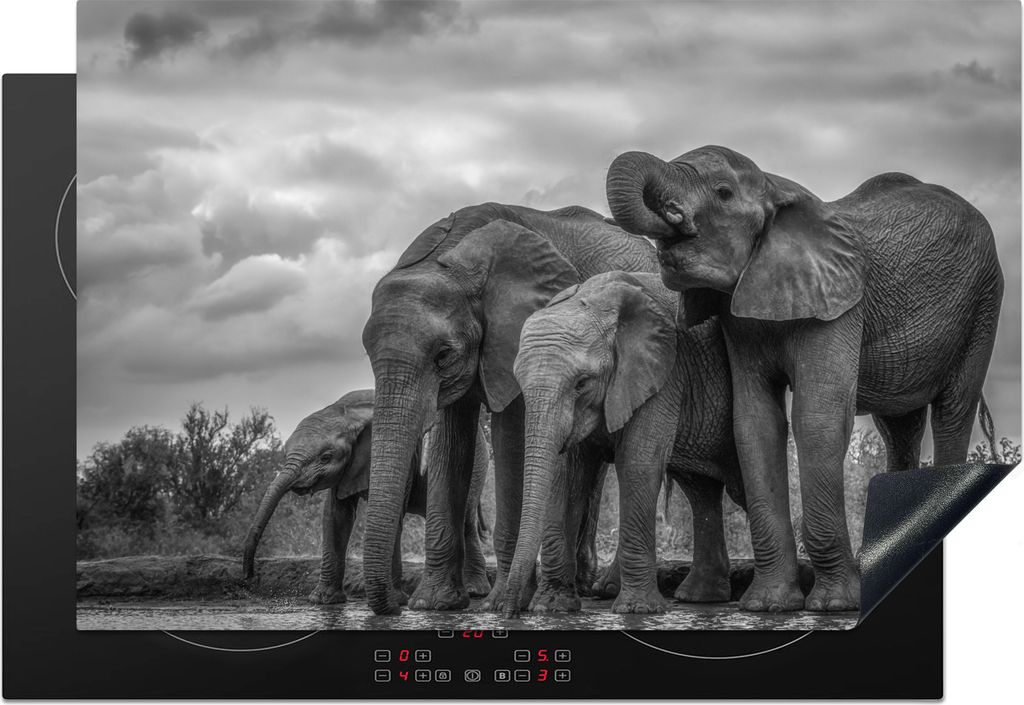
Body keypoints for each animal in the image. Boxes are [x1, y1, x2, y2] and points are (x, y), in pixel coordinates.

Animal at [241, 389, 491, 604]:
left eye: (325, 457)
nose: (248, 577)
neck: (345, 412)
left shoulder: (407, 457)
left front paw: (396, 600)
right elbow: (336, 515)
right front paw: (322, 600)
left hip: (476, 461)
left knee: (466, 521)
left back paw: (474, 591)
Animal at [360, 202, 658, 615]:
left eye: (443, 354)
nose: (394, 601)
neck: (452, 258)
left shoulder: (518, 335)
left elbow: (512, 442)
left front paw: (499, 602)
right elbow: (451, 446)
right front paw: (432, 603)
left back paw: (603, 590)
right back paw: (584, 587)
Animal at [504, 271, 743, 615]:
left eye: (581, 383)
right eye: (520, 383)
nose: (509, 614)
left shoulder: (664, 372)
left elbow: (637, 461)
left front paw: (637, 610)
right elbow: (566, 474)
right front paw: (552, 608)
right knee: (701, 490)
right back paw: (700, 597)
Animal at [606, 146, 1003, 612]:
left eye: (723, 193)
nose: (673, 216)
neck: (776, 187)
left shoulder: (841, 302)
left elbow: (817, 419)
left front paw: (833, 605)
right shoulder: (740, 319)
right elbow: (754, 425)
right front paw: (767, 606)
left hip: (985, 302)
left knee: (953, 411)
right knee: (899, 427)